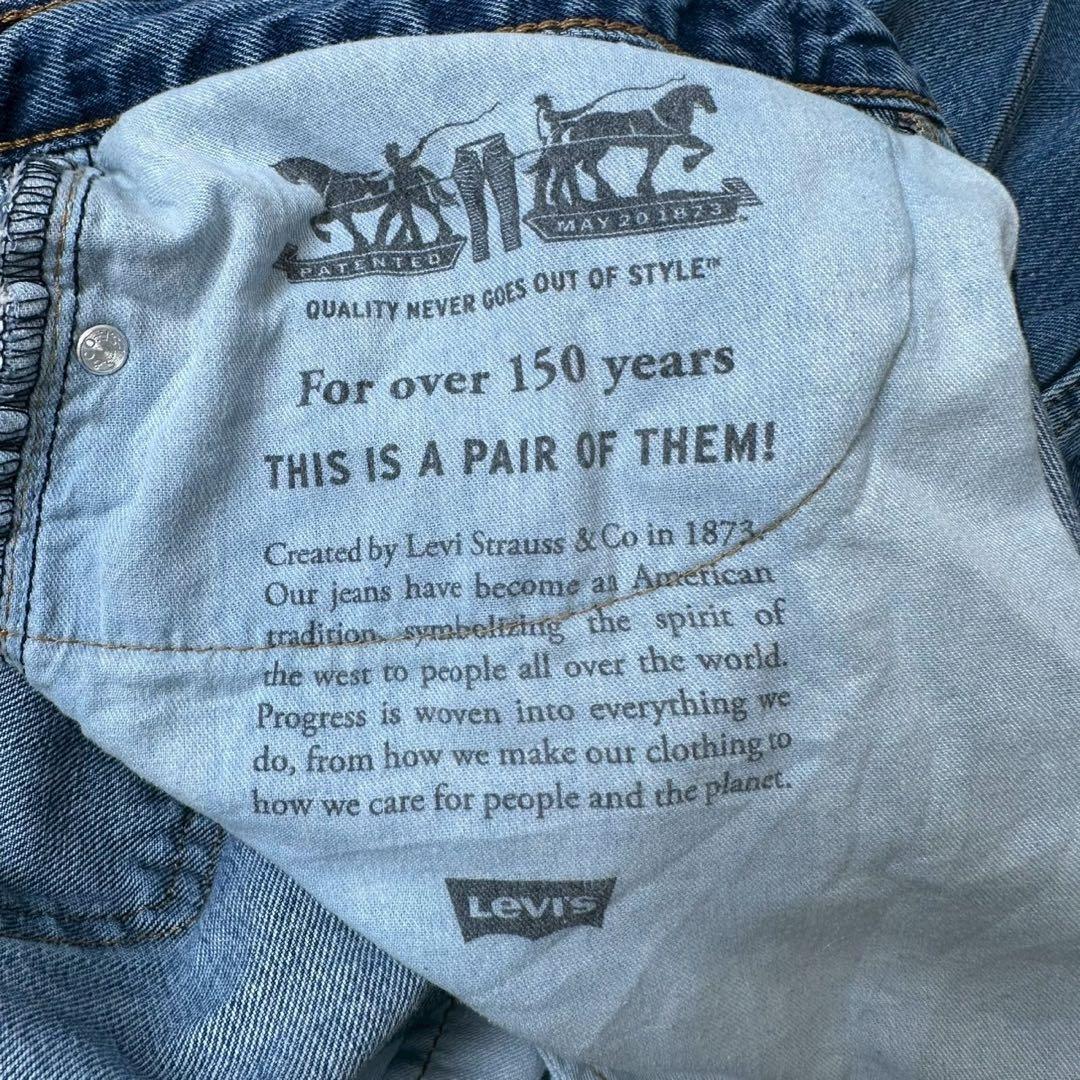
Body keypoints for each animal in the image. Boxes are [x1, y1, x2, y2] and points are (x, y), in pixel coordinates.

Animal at [528, 84, 717, 211]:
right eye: (704, 95)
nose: (714, 109)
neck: (666, 116)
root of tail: (575, 123)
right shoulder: (668, 142)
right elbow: (705, 147)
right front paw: (689, 164)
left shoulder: (663, 145)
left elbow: (652, 164)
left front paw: (645, 188)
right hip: (588, 147)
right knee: (570, 166)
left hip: (597, 148)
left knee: (582, 166)